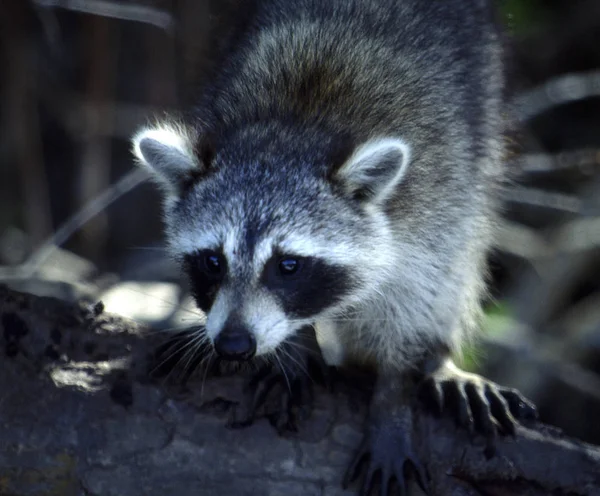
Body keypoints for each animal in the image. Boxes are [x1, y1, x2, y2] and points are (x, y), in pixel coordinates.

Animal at [131, 0, 536, 492]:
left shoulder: (435, 192)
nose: (233, 345)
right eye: (212, 261)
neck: (295, 126)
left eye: (288, 266)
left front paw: (393, 399)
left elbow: (419, 294)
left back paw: (438, 359)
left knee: (461, 260)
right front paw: (294, 348)